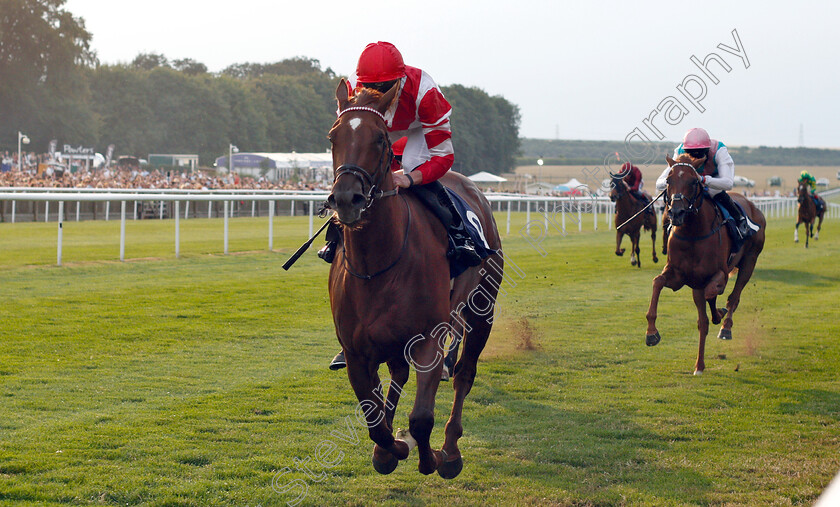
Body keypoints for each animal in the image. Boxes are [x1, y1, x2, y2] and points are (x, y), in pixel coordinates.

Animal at [324, 80, 502, 480]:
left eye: (379, 139)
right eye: (332, 136)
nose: (347, 198)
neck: (378, 263)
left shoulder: (429, 338)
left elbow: (421, 418)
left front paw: (430, 457)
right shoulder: (357, 351)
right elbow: (374, 419)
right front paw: (388, 450)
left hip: (482, 309)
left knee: (464, 373)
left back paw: (451, 448)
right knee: (400, 374)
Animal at [648, 157, 764, 376]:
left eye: (694, 181)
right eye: (668, 180)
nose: (676, 212)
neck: (693, 233)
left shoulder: (720, 275)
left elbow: (714, 293)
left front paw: (719, 314)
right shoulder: (679, 276)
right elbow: (657, 282)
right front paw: (651, 333)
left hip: (749, 261)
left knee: (733, 297)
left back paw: (725, 327)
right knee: (703, 321)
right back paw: (699, 365)